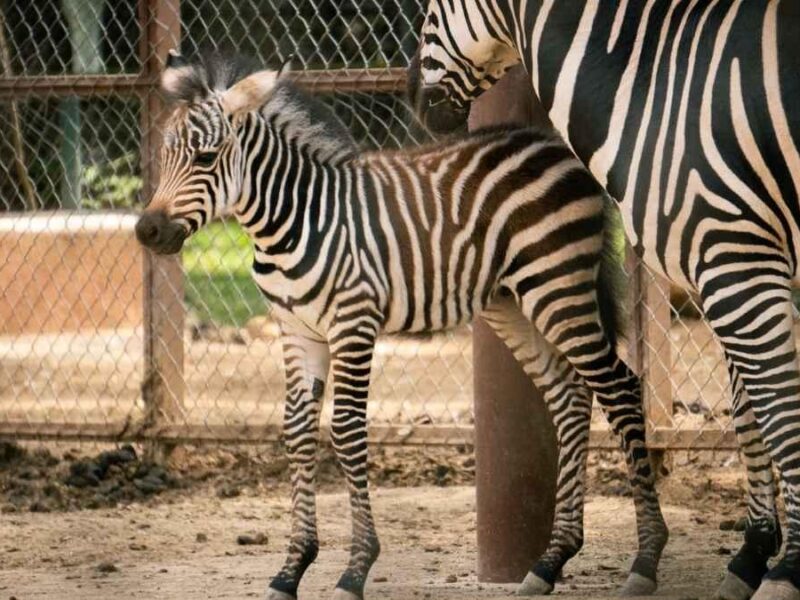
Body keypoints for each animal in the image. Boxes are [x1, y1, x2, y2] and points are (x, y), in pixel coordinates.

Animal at [135, 50, 668, 599]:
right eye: (165, 154)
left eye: (205, 158)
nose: (146, 231)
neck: (290, 222)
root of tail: (557, 148)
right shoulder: (297, 332)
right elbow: (297, 432)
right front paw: (291, 570)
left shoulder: (353, 322)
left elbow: (347, 430)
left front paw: (355, 570)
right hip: (513, 302)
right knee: (570, 396)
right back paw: (550, 560)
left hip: (556, 284)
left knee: (620, 388)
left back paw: (644, 560)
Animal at [408, 1, 800, 599]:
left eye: (430, 11)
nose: (418, 104)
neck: (650, 81)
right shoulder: (730, 265)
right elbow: (750, 409)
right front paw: (753, 554)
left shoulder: (735, 259)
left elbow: (780, 409)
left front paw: (788, 566)